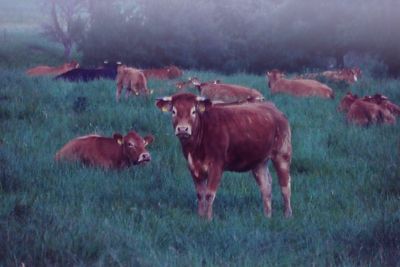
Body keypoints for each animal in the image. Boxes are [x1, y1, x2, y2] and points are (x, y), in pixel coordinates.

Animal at [157, 93, 294, 221]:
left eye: (193, 111)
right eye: (174, 111)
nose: (182, 129)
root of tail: (273, 108)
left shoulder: (216, 166)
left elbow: (209, 194)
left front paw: (208, 218)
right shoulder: (193, 167)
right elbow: (200, 194)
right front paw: (200, 217)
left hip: (282, 155)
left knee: (285, 186)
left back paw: (287, 215)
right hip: (259, 162)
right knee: (266, 187)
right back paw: (267, 216)